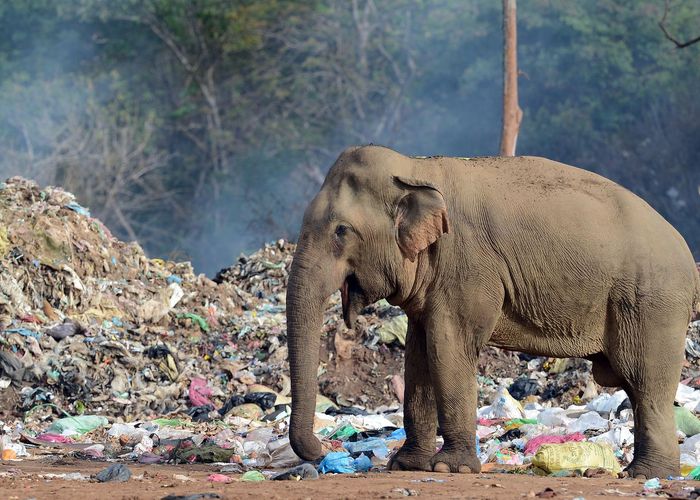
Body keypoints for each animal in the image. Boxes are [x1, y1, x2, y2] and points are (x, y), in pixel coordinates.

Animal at [286, 144, 700, 476]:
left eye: (341, 231)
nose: (322, 450)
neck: (416, 167)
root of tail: (686, 253)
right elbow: (418, 354)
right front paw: (405, 466)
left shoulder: (467, 266)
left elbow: (448, 347)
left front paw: (449, 468)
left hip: (651, 302)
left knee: (645, 382)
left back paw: (647, 474)